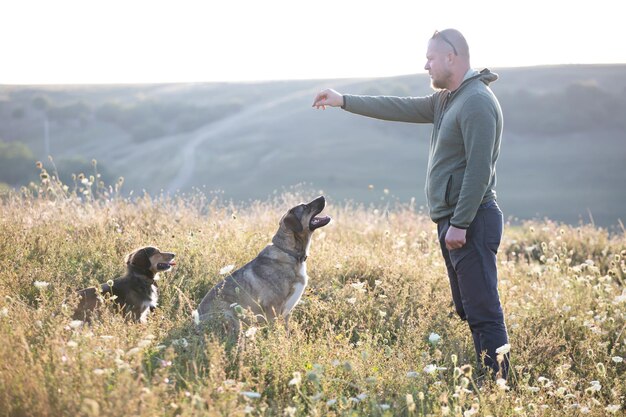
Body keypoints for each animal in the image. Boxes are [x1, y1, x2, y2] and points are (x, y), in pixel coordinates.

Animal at [196, 194, 332, 332]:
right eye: (305, 207)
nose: (322, 196)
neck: (290, 253)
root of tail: (195, 325)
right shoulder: (273, 308)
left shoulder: (286, 314)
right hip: (230, 315)